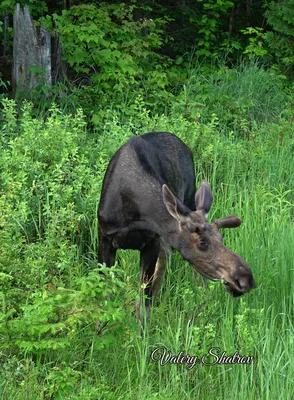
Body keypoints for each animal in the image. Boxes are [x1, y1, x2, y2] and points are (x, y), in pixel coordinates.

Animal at [97, 131, 256, 322]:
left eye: (221, 237)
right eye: (201, 242)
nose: (245, 278)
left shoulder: (153, 240)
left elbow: (143, 304)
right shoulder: (105, 236)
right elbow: (103, 302)